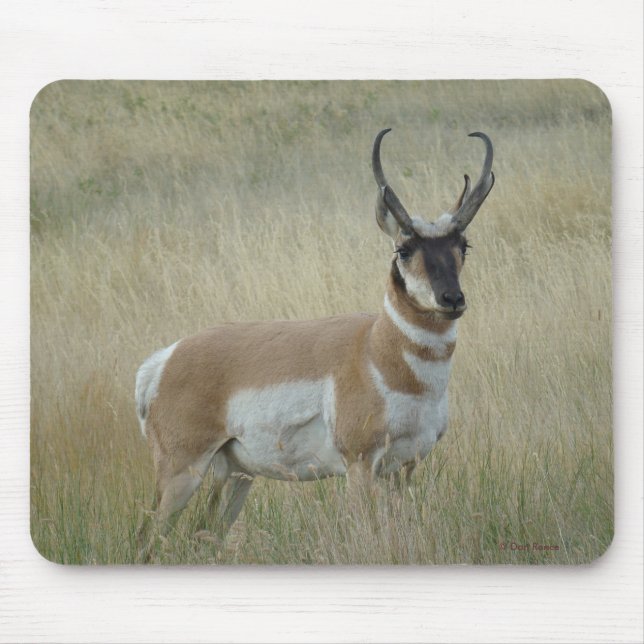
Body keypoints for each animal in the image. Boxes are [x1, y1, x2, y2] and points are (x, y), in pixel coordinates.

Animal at [135, 129, 494, 558]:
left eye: (464, 245)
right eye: (404, 249)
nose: (452, 299)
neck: (376, 350)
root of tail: (165, 359)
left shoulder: (404, 468)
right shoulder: (360, 465)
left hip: (236, 475)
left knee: (204, 534)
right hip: (181, 472)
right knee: (147, 538)